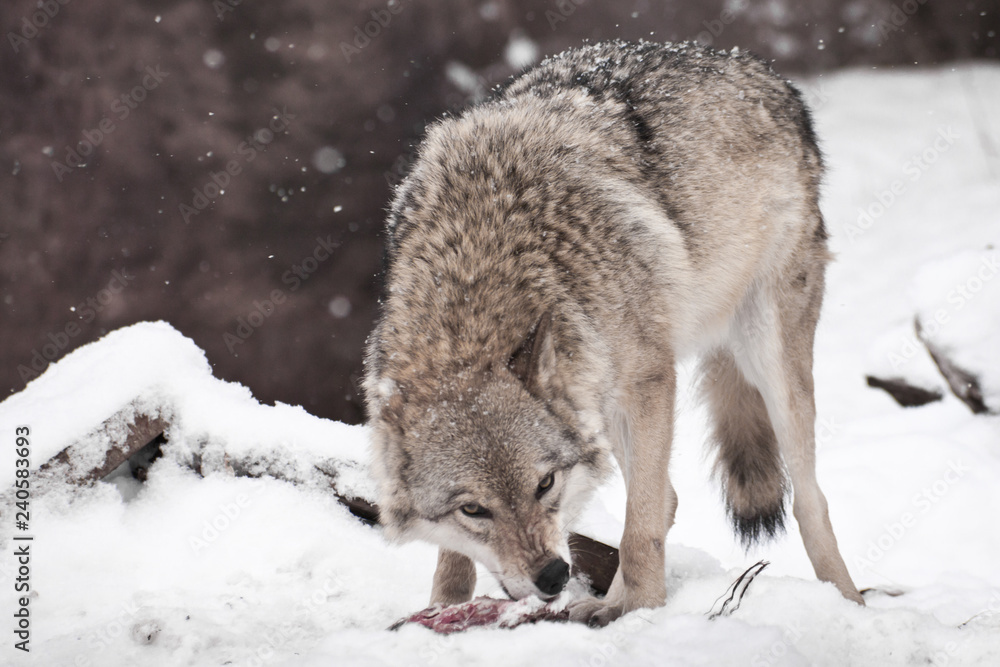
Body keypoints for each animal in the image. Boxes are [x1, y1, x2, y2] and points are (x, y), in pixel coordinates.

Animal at [363, 40, 864, 626]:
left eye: (545, 483)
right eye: (473, 509)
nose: (553, 576)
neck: (476, 273)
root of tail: (764, 73)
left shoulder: (651, 381)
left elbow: (642, 524)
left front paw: (643, 611)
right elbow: (452, 557)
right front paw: (443, 607)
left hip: (763, 359)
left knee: (805, 499)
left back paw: (848, 603)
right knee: (669, 497)